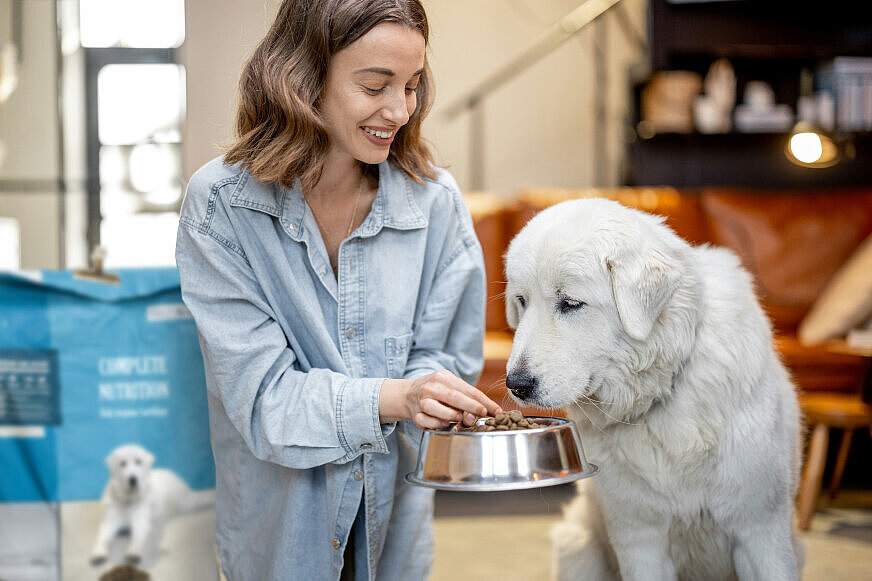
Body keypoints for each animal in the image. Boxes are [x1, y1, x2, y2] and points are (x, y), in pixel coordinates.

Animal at [504, 197, 804, 576]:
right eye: (522, 301)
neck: (662, 391)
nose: (516, 384)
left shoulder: (761, 529)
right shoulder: (640, 541)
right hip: (578, 547)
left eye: (570, 303)